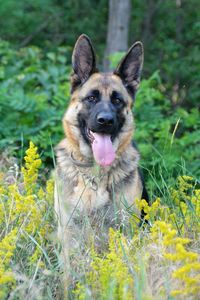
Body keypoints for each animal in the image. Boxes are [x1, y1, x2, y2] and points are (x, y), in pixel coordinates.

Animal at [54, 33, 148, 276]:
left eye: (117, 100)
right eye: (92, 98)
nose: (105, 121)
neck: (94, 174)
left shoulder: (125, 229)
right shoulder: (68, 232)